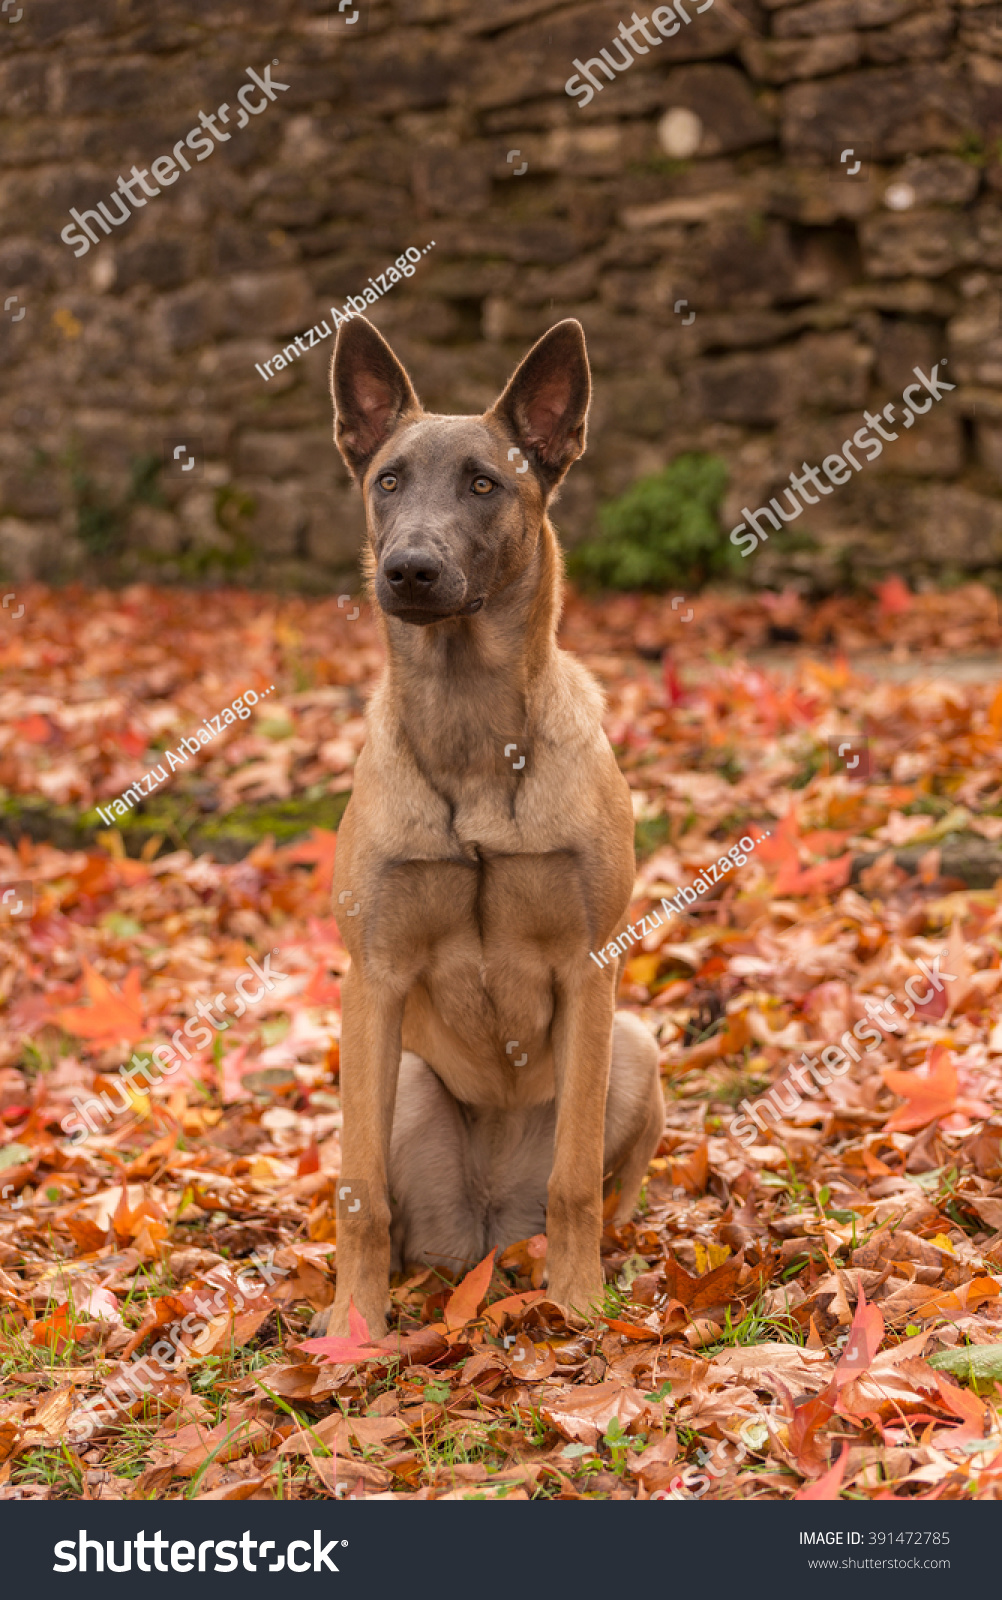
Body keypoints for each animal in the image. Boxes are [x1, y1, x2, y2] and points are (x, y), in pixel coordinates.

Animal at [308, 312, 659, 1337]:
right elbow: (358, 1195)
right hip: (403, 1077)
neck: (469, 739)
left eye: (483, 484)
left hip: (635, 1044)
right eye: (388, 481)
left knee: (597, 1188)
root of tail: (491, 1227)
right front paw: (355, 1329)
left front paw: (580, 1304)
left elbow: (575, 1179)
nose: (409, 570)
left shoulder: (590, 971)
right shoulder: (373, 983)